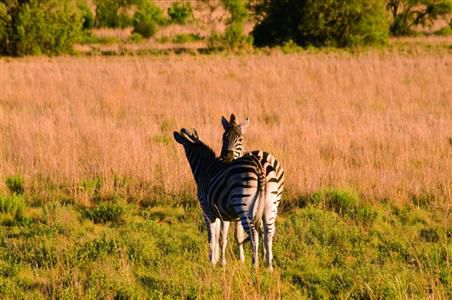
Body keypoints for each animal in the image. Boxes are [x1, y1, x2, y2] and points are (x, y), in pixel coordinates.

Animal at [174, 127, 278, 268]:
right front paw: (219, 261)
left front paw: (211, 262)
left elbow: (211, 237)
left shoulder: (206, 210)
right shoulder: (220, 214)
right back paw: (269, 267)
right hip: (270, 204)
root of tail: (259, 165)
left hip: (244, 205)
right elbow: (220, 236)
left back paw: (254, 266)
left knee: (253, 234)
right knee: (268, 233)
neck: (204, 167)